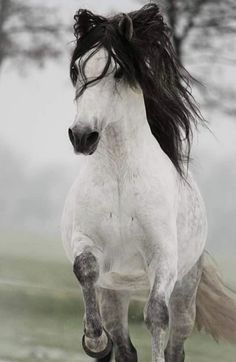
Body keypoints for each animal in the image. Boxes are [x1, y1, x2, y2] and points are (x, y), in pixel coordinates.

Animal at [61, 3, 236, 362]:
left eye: (117, 72)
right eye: (76, 70)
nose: (82, 136)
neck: (119, 178)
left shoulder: (163, 259)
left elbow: (156, 314)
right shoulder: (87, 244)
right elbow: (84, 269)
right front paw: (94, 342)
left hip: (185, 290)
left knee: (175, 345)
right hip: (116, 291)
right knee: (125, 346)